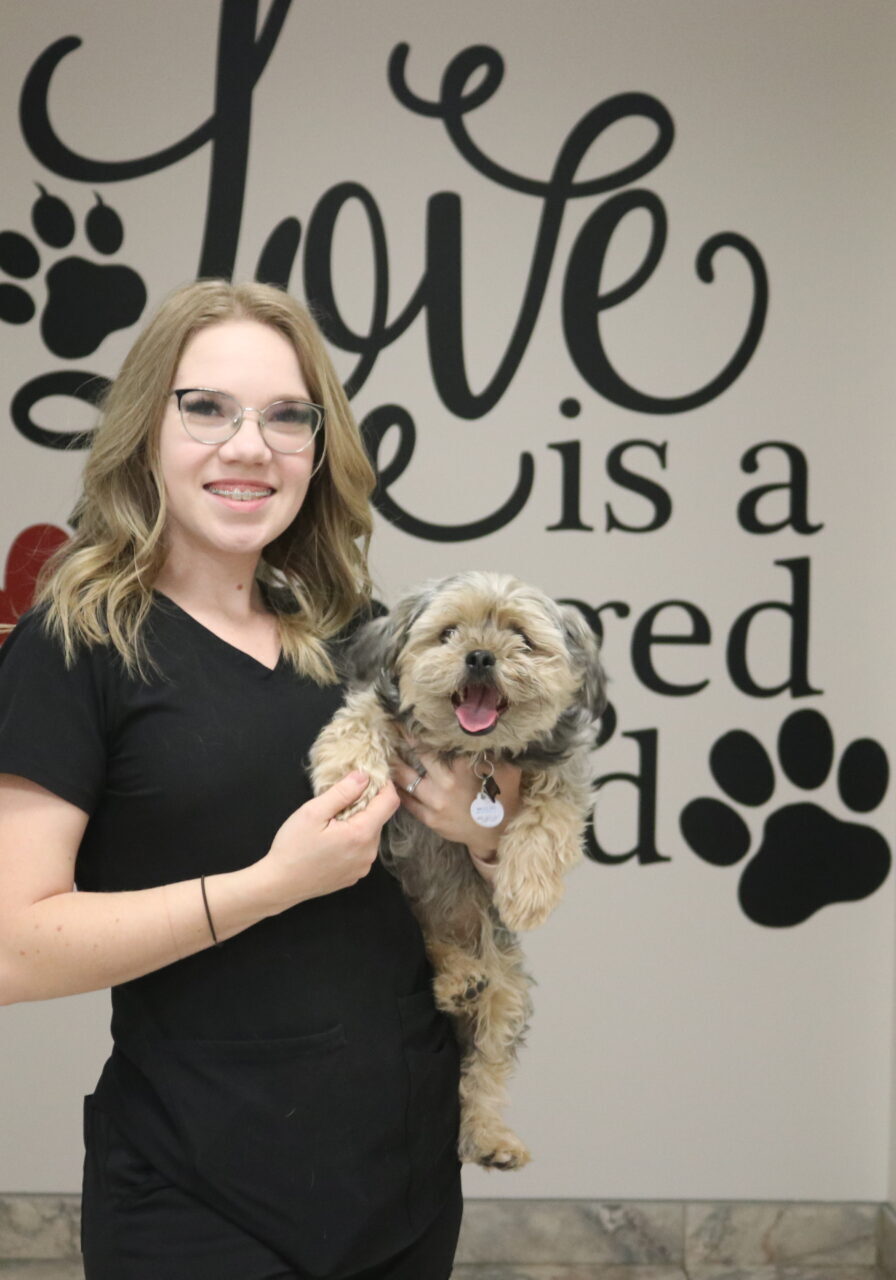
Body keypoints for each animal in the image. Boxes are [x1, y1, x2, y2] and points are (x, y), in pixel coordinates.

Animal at [309, 570, 609, 1172]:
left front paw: (528, 893)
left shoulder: (559, 773)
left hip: (509, 990)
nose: (479, 656)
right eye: (448, 632)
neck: (473, 752)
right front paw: (354, 788)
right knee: (430, 945)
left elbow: (550, 817)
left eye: (521, 637)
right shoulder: (381, 715)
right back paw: (456, 978)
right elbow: (358, 723)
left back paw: (489, 1135)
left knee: (482, 1074)